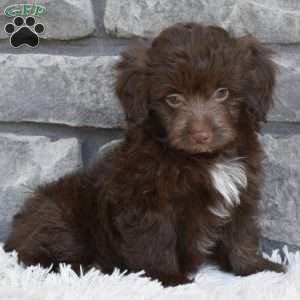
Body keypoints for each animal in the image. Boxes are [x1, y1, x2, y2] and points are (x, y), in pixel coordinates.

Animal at [5, 22, 286, 286]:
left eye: (222, 92)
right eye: (173, 98)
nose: (201, 135)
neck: (202, 159)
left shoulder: (241, 189)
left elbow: (241, 233)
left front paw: (256, 268)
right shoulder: (146, 200)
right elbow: (156, 240)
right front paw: (169, 279)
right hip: (57, 216)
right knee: (43, 257)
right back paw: (89, 266)